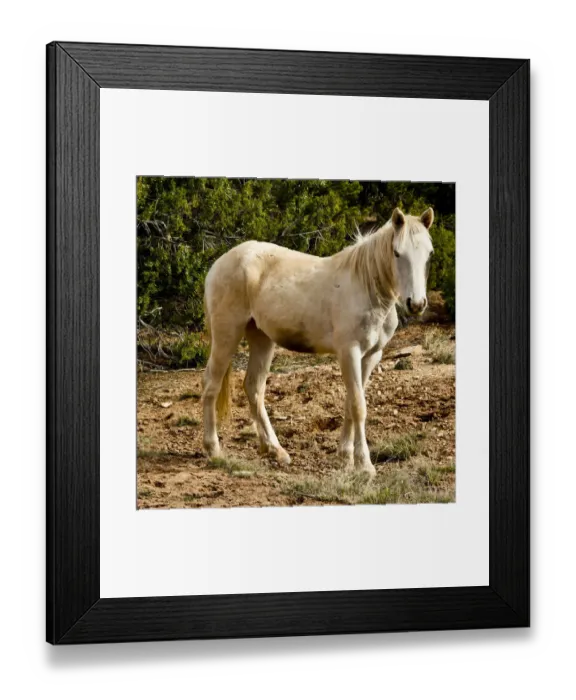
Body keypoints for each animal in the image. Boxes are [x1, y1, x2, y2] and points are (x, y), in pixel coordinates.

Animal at [202, 207, 434, 475]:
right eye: (397, 253)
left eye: (429, 253)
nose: (416, 304)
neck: (367, 287)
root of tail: (219, 264)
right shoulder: (349, 353)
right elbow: (359, 406)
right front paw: (364, 465)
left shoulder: (370, 356)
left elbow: (351, 404)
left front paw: (345, 457)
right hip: (227, 334)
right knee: (211, 385)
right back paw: (213, 449)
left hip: (261, 338)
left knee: (254, 388)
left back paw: (275, 450)